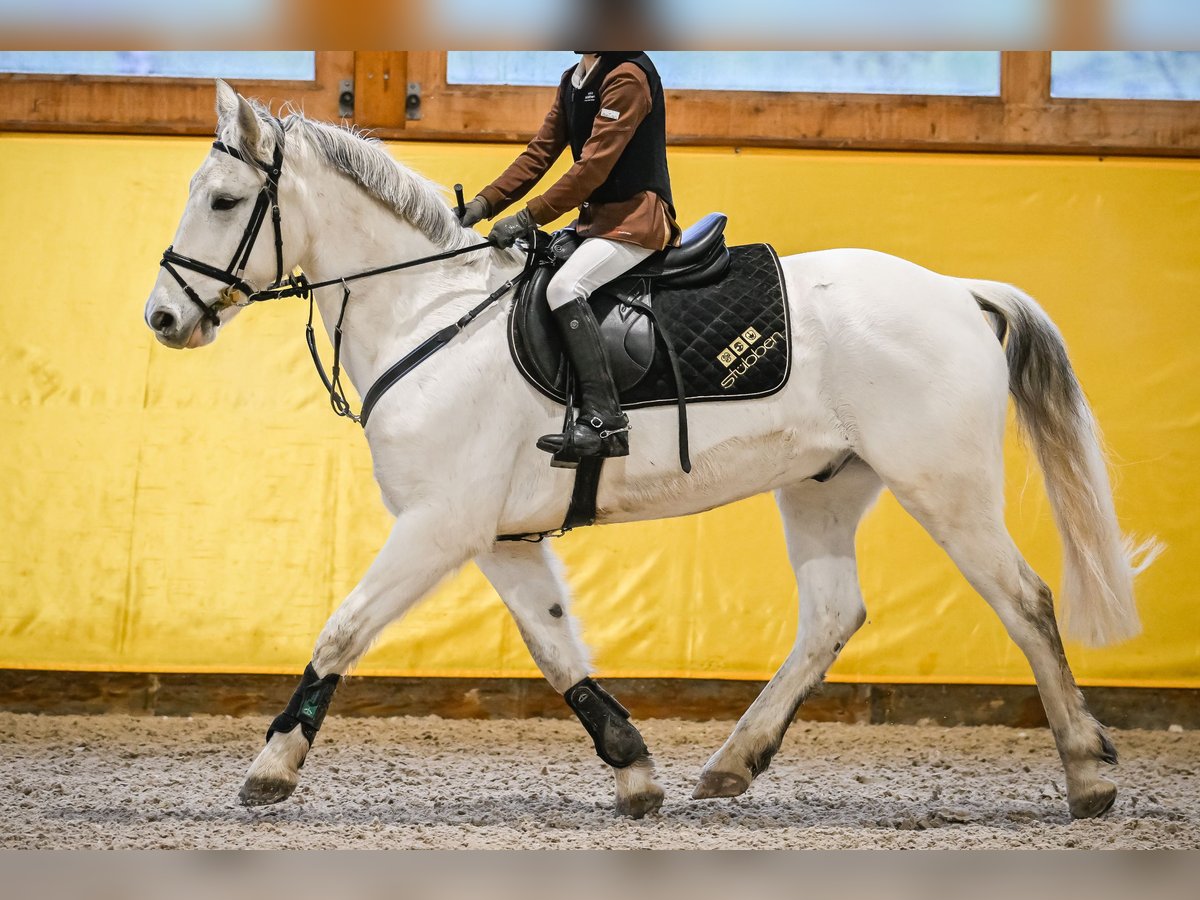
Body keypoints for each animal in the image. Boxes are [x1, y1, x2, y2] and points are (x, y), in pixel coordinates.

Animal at [145, 84, 1156, 825]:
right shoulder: (497, 537)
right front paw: (634, 773)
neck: (430, 314)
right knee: (832, 615)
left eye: (226, 202)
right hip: (825, 486)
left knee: (1025, 600)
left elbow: (342, 630)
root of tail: (956, 292)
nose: (161, 318)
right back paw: (732, 765)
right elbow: (557, 650)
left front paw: (272, 767)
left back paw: (1089, 774)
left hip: (945, 486)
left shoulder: (439, 526)